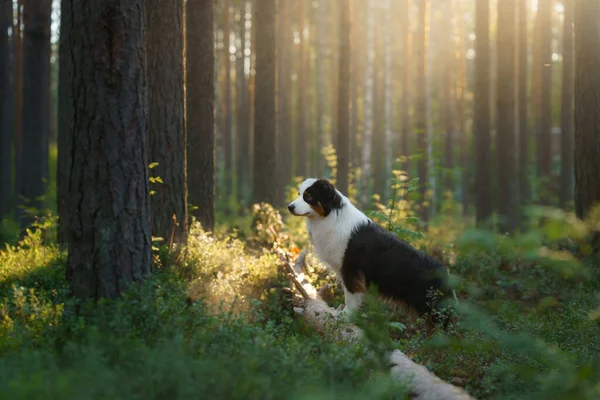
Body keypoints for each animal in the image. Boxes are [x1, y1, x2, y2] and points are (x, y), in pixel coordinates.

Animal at [288, 178, 458, 332]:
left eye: (308, 196)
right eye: (299, 194)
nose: (289, 207)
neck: (331, 215)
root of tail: (444, 271)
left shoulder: (351, 269)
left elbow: (351, 297)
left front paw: (344, 317)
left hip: (433, 307)